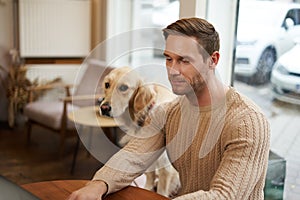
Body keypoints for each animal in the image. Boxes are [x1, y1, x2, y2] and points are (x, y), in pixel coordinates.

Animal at [99, 67, 180, 197]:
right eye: (107, 84)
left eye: (123, 88)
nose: (104, 108)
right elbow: (150, 175)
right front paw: (147, 188)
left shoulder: (165, 163)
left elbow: (163, 186)